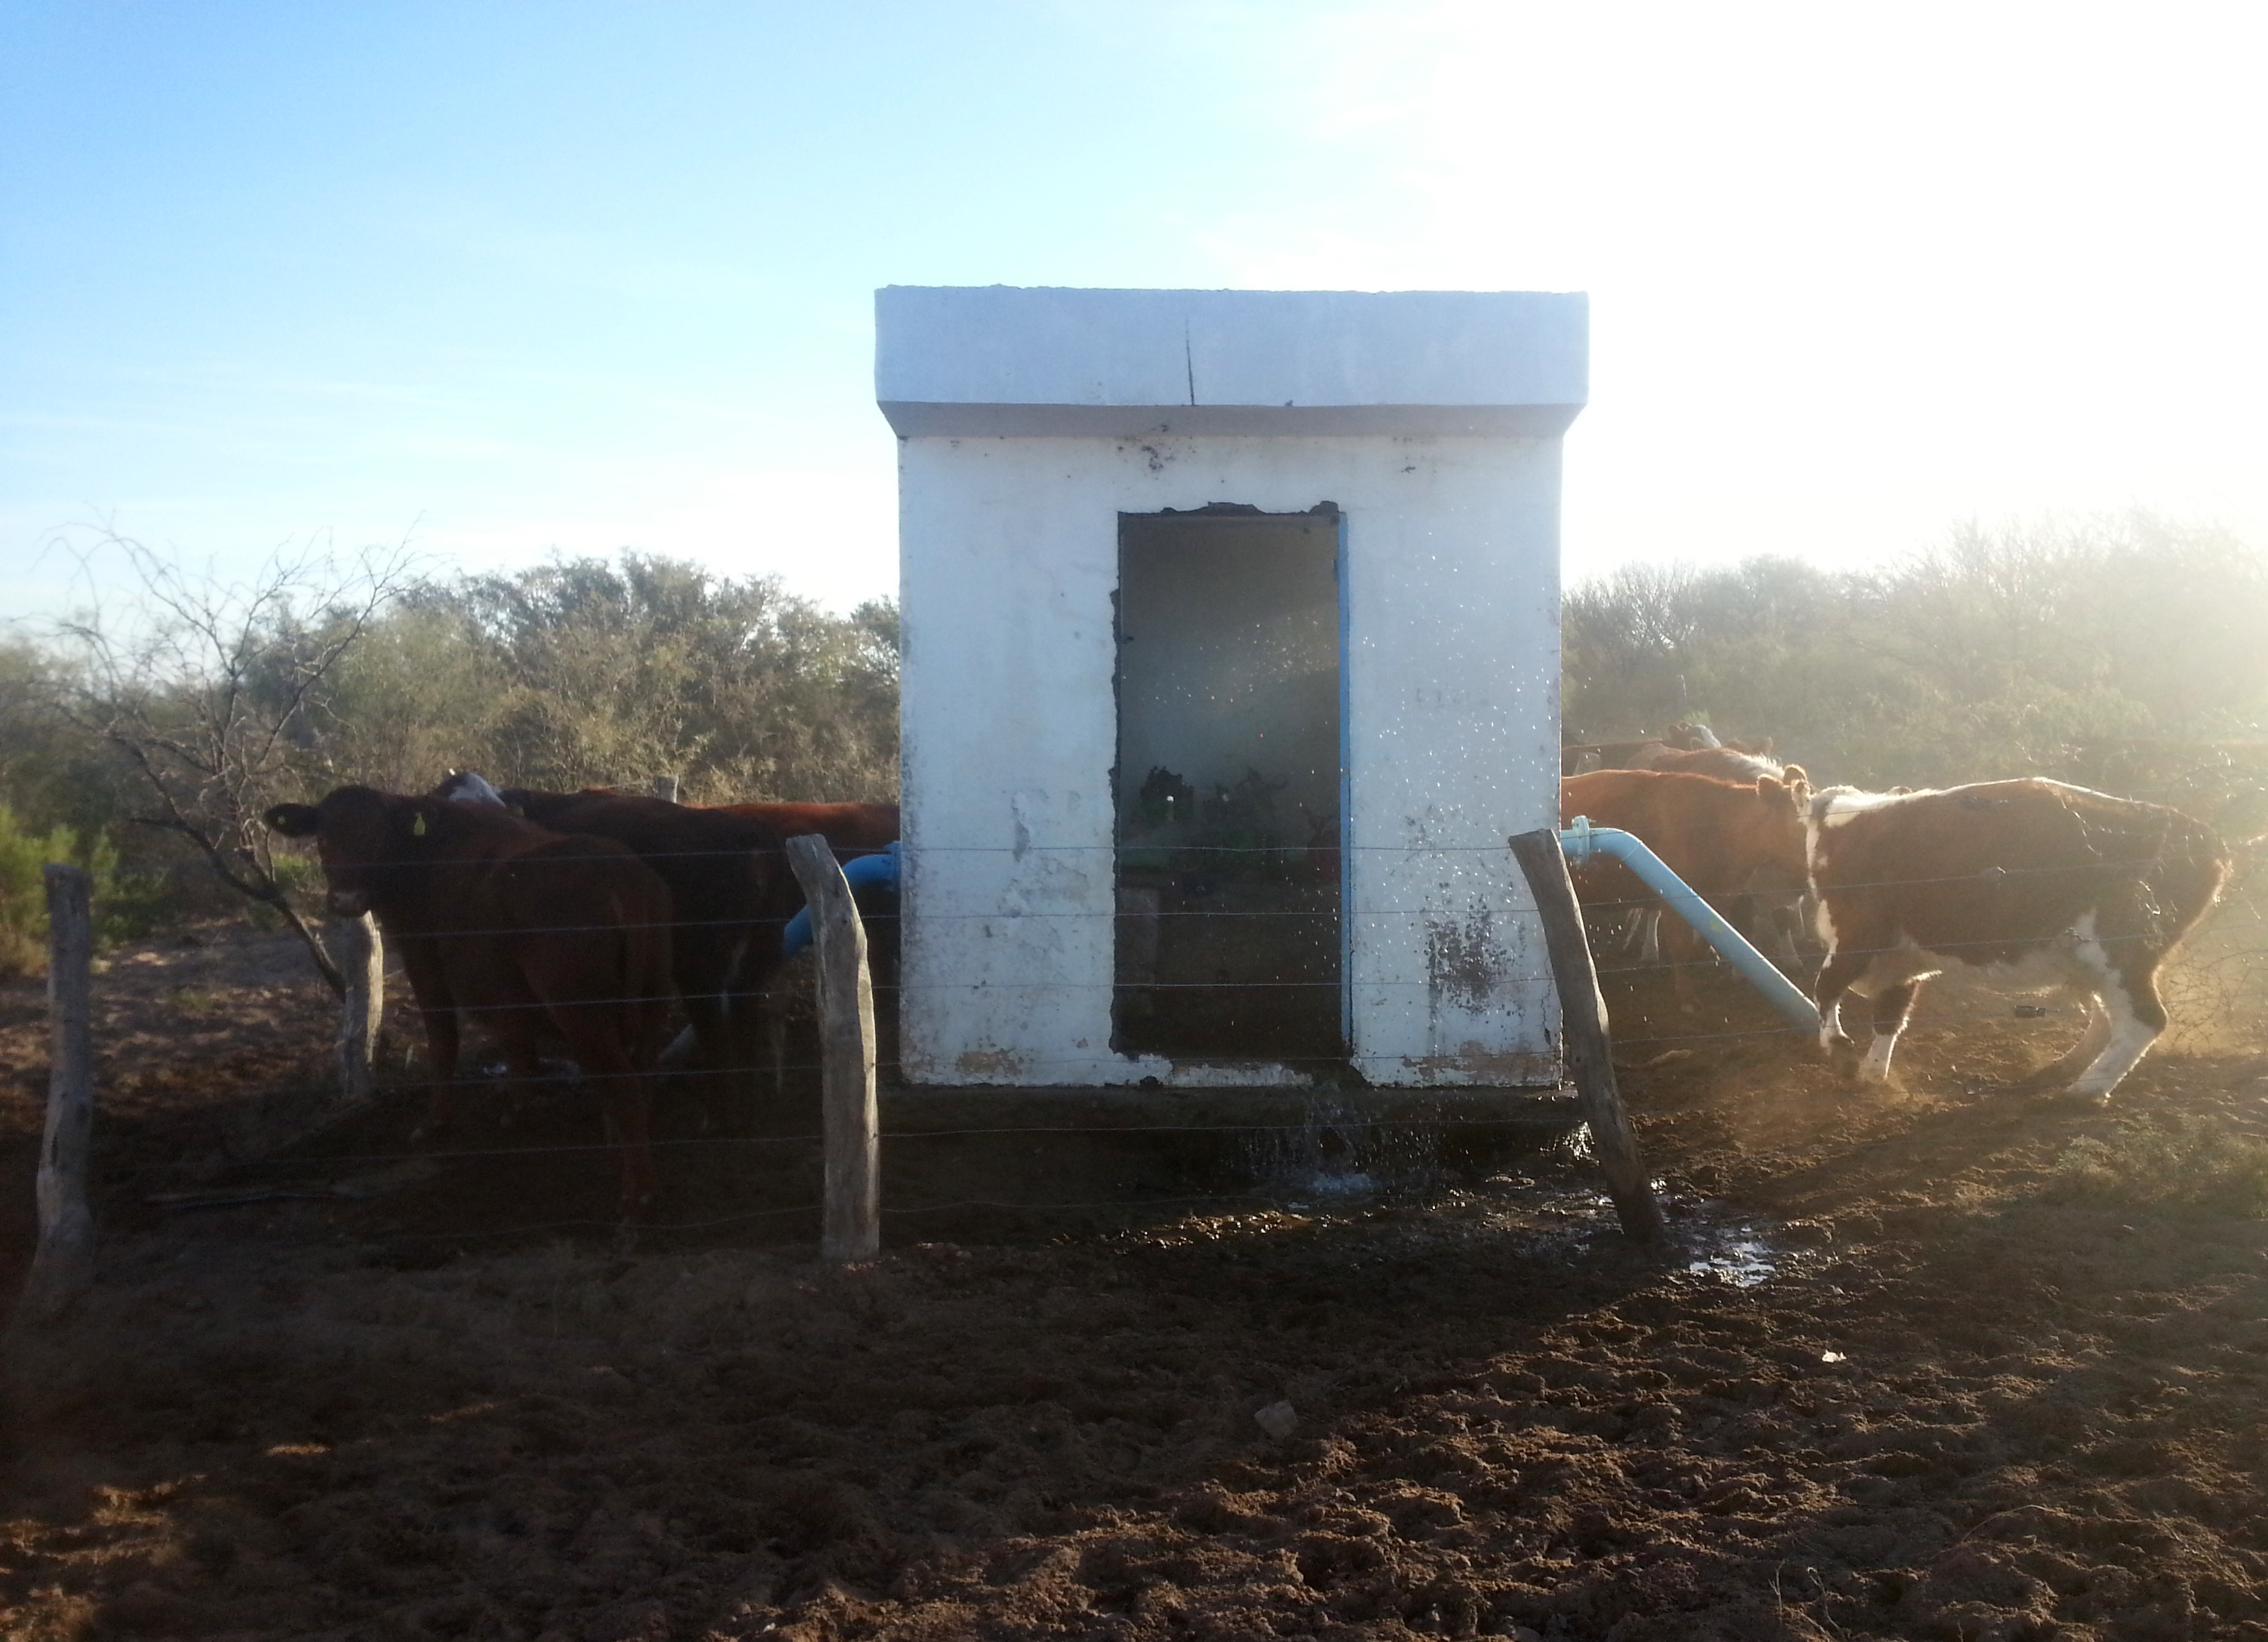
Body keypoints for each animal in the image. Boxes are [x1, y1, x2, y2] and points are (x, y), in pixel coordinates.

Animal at [260, 784, 671, 1215]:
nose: (347, 900)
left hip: (580, 1011)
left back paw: (639, 1188)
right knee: (643, 1071)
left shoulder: (424, 961)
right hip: (654, 995)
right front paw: (517, 1107)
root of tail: (617, 870)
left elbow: (443, 1042)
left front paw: (434, 1122)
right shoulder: (501, 983)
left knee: (623, 1081)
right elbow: (516, 1040)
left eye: (377, 838)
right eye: (323, 838)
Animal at [1560, 770, 1805, 1011]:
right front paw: (1687, 998)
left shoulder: (1715, 900)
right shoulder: (1673, 898)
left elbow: (1702, 943)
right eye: (1801, 825)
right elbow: (1681, 945)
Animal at [1805, 779, 2231, 1097]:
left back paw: (2086, 1090)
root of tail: (2202, 837)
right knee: (2110, 1017)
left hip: (2118, 953)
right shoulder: (1903, 959)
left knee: (2144, 1019)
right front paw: (1873, 1074)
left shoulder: (1858, 937)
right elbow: (1890, 1016)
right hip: (2096, 962)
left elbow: (1825, 987)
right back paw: (2062, 1071)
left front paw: (1840, 1051)